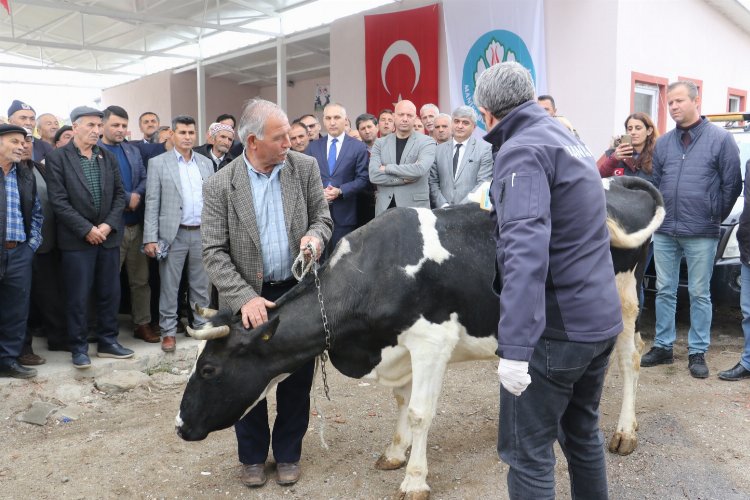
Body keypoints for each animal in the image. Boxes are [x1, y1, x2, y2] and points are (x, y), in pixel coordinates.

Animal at [179, 176, 668, 500]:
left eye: (210, 369)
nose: (181, 426)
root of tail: (613, 182)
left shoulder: (432, 343)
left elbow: (419, 412)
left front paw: (414, 479)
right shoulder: (399, 348)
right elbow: (400, 402)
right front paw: (395, 452)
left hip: (625, 297)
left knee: (630, 359)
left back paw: (625, 433)